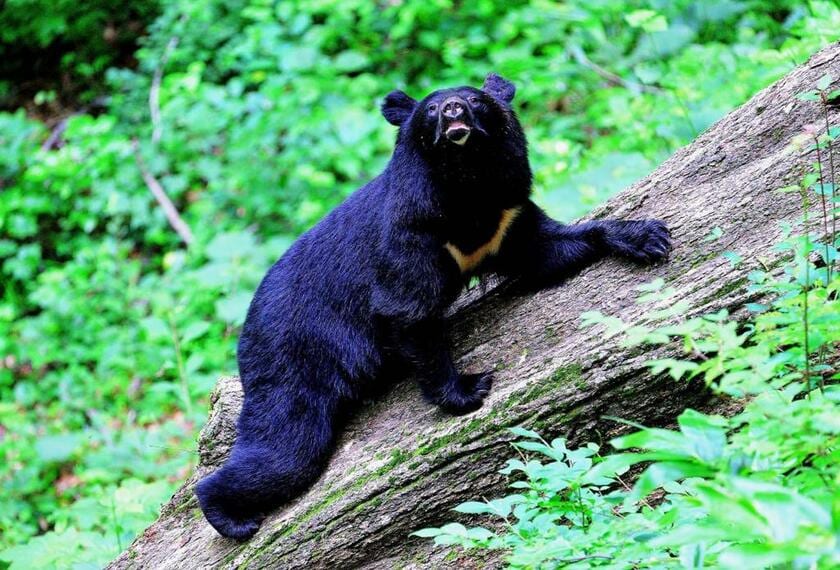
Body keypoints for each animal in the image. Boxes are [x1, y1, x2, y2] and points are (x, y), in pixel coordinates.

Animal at [195, 74, 668, 536]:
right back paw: (230, 516)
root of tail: (247, 333)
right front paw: (468, 390)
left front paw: (645, 236)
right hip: (294, 364)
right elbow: (407, 313)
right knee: (287, 449)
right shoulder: (413, 233)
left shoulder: (507, 215)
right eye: (432, 109)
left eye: (474, 100)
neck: (467, 182)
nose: (453, 110)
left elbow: (546, 252)